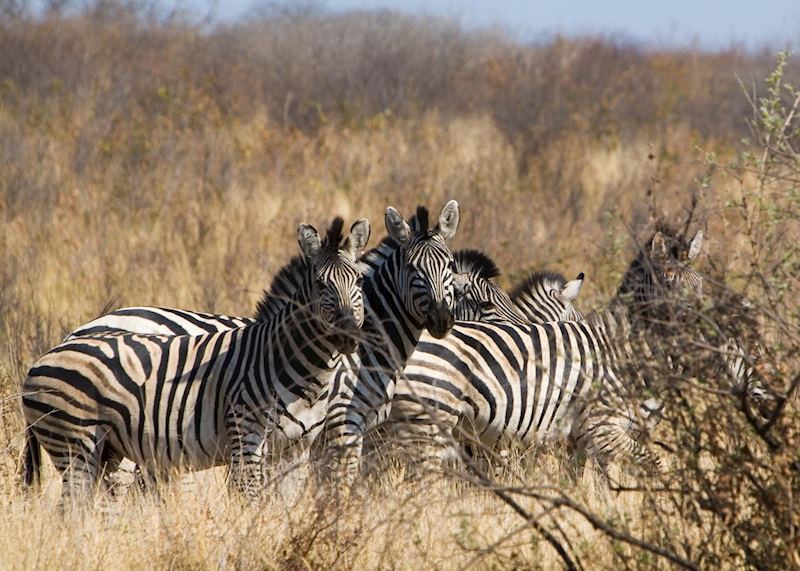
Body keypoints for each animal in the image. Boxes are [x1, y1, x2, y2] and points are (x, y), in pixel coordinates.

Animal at [20, 217, 371, 502]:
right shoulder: (250, 438)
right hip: (76, 447)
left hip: (106, 451)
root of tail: (49, 353)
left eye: (358, 281)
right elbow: (252, 503)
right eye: (320, 284)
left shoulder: (296, 448)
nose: (349, 337)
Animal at [382, 225, 708, 477]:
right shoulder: (598, 429)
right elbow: (652, 466)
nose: (705, 324)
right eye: (668, 284)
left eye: (701, 284)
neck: (621, 348)